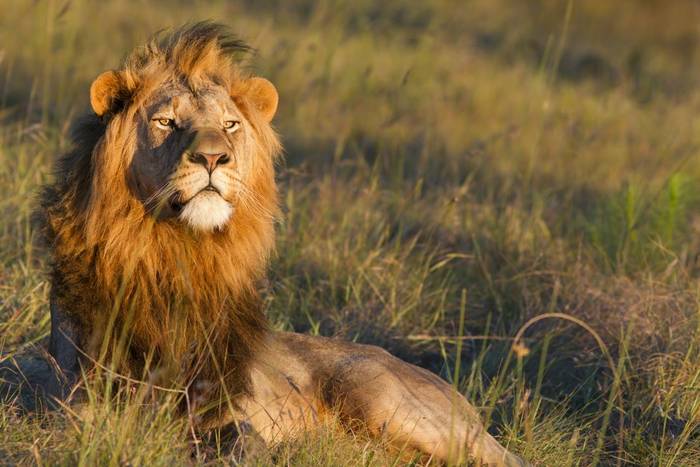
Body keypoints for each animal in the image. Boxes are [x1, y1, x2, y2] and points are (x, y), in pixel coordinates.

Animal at [6, 23, 526, 466]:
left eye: (230, 125)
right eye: (167, 122)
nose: (213, 157)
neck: (179, 252)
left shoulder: (223, 403)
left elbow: (242, 440)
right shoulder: (81, 406)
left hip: (382, 398)